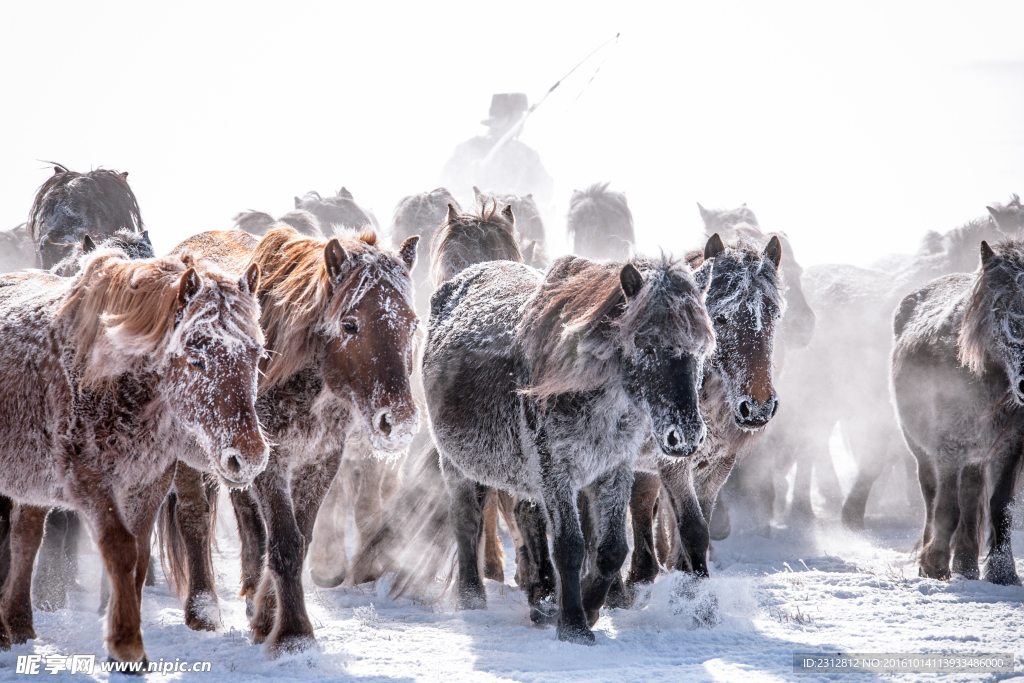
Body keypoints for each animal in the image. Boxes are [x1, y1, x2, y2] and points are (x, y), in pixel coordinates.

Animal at [0, 247, 267, 664]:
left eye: (256, 355)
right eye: (197, 359)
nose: (249, 456)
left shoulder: (148, 481)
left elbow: (139, 558)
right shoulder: (89, 480)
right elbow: (121, 550)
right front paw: (126, 647)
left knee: (25, 540)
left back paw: (21, 627)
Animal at [161, 225, 419, 651]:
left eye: (412, 324)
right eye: (350, 324)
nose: (398, 422)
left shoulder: (319, 461)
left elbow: (299, 536)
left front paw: (267, 617)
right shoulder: (274, 462)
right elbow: (286, 542)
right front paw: (294, 634)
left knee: (248, 521)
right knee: (194, 519)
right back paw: (202, 611)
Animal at [892, 238, 1024, 585]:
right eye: (1008, 316)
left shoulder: (1008, 449)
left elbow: (1000, 508)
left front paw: (1003, 572)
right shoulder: (947, 449)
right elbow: (946, 508)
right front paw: (935, 564)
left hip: (975, 457)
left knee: (971, 497)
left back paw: (966, 565)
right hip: (923, 451)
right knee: (932, 497)